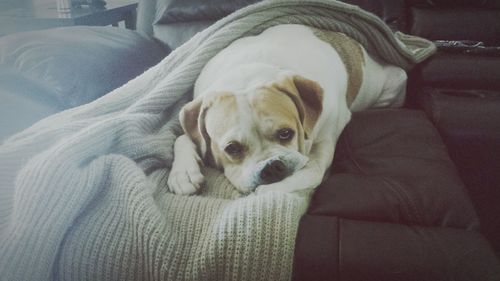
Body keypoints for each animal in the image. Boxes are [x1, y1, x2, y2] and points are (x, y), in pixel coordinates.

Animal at [167, 24, 406, 195]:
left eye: (286, 133)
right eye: (232, 148)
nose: (272, 166)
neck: (249, 73)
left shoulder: (324, 141)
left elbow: (313, 171)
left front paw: (271, 190)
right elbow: (184, 137)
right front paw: (183, 172)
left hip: (394, 83)